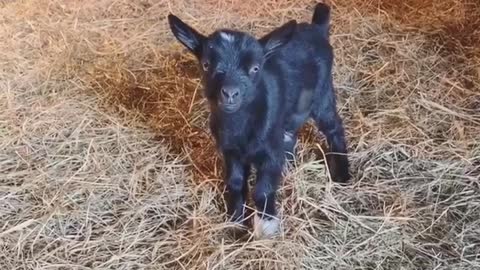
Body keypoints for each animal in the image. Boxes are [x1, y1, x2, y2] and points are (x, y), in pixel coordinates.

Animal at [168, 2, 348, 238]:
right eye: (206, 65)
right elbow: (235, 183)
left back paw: (342, 174)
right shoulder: (230, 151)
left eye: (255, 68)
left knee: (334, 127)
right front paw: (235, 221)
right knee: (290, 132)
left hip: (322, 94)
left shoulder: (269, 153)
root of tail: (317, 28)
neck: (240, 126)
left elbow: (262, 190)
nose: (230, 93)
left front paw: (266, 226)